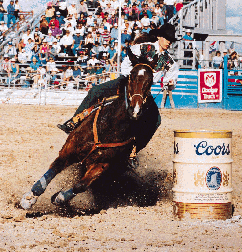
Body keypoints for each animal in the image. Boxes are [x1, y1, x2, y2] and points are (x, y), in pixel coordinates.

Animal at [20, 64, 153, 210]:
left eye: (150, 81)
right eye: (132, 76)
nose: (135, 110)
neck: (110, 128)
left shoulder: (102, 165)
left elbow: (80, 186)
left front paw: (59, 198)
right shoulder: (68, 150)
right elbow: (53, 170)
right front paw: (29, 198)